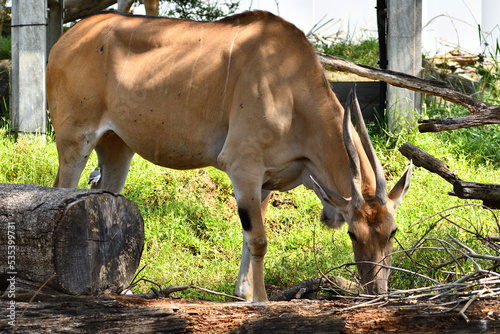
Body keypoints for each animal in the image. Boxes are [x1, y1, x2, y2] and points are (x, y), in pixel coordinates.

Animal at [47, 11, 412, 302]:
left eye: (392, 232)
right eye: (353, 234)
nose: (377, 291)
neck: (290, 84)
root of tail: (64, 40)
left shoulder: (265, 181)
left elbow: (248, 238)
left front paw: (244, 294)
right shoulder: (243, 167)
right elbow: (259, 240)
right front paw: (260, 301)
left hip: (117, 148)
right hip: (74, 142)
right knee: (60, 191)